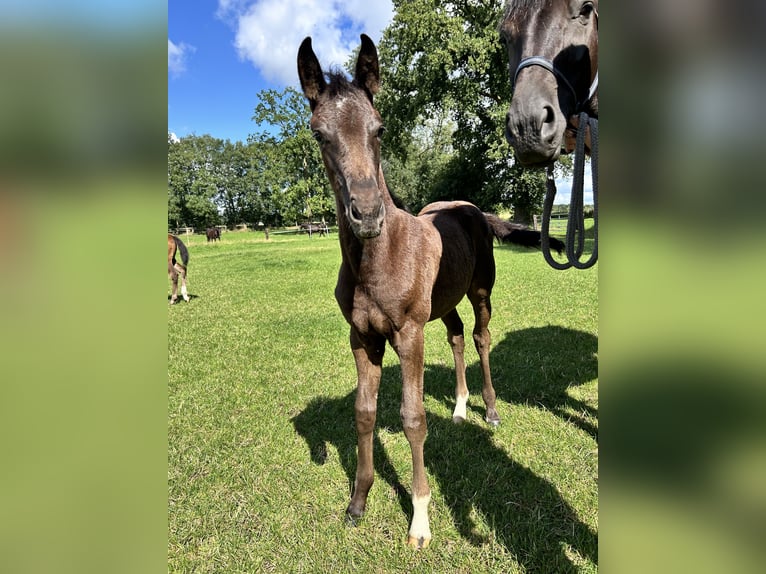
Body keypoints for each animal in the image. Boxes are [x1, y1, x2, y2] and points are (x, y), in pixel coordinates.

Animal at [300, 33, 564, 552]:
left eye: (379, 129)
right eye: (320, 134)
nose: (367, 215)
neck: (376, 260)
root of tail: (473, 210)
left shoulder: (408, 334)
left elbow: (412, 418)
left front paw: (420, 521)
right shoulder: (362, 338)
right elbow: (364, 412)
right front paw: (357, 502)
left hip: (479, 291)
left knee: (480, 338)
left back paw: (489, 409)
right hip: (443, 304)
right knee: (458, 336)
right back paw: (460, 409)